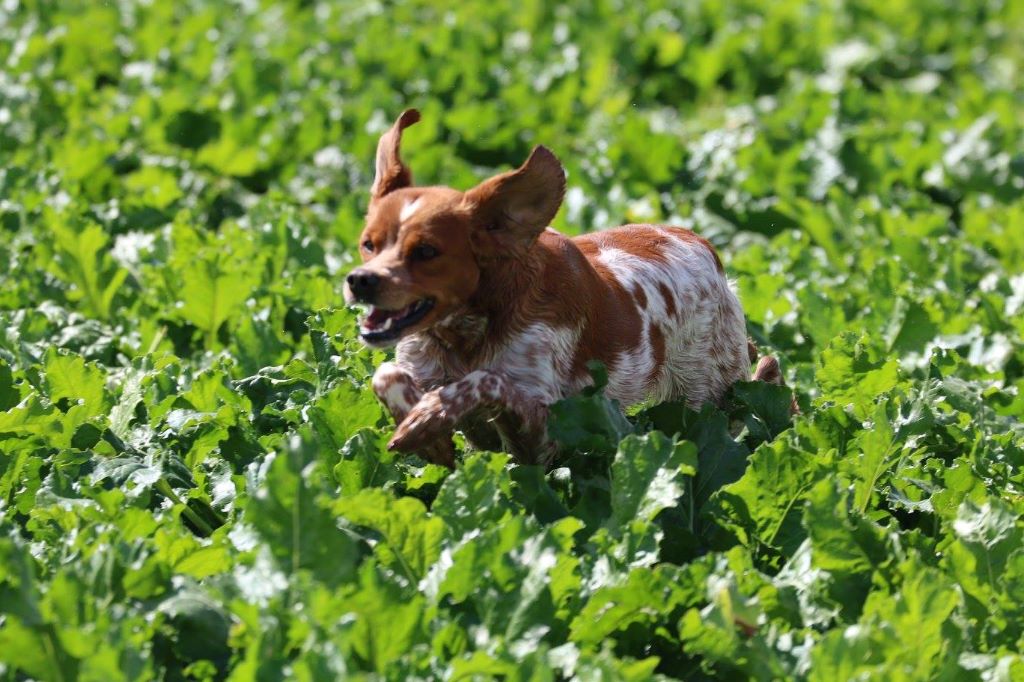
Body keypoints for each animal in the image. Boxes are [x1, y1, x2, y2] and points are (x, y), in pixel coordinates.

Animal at [344, 109, 782, 464]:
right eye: (368, 243)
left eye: (426, 251)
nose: (360, 281)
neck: (469, 331)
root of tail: (705, 245)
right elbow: (385, 374)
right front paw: (425, 428)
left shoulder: (544, 433)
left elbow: (486, 380)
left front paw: (427, 417)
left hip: (709, 399)